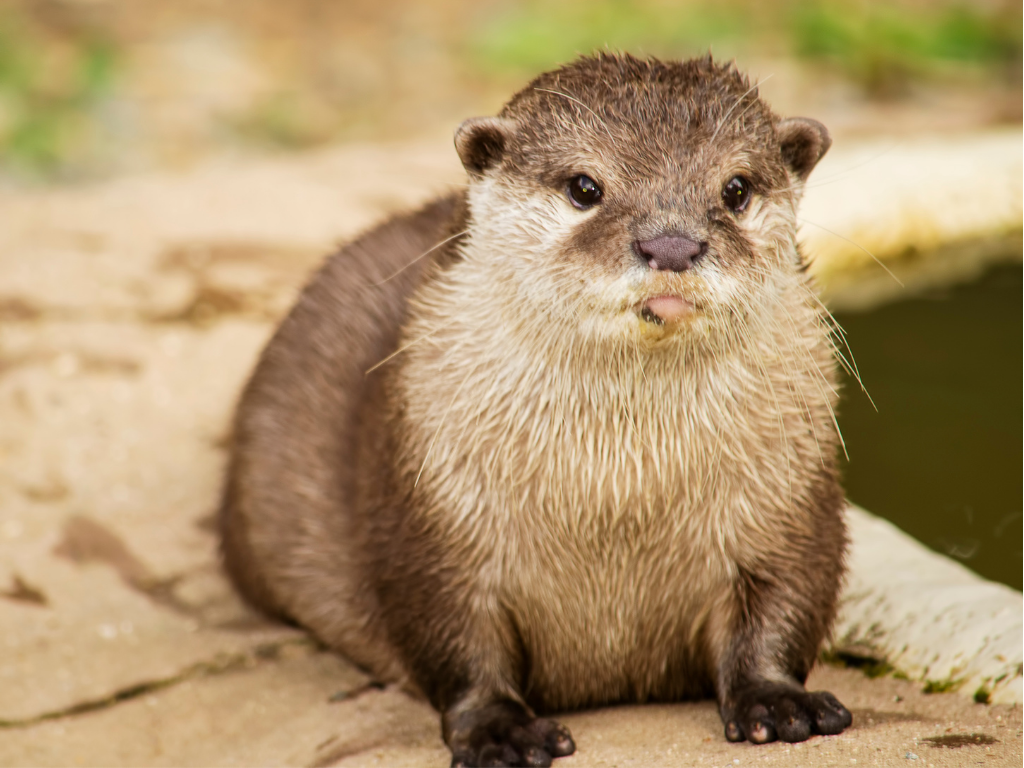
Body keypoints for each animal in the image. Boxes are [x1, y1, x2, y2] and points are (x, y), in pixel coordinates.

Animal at [219, 54, 852, 767]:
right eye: (584, 186)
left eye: (736, 188)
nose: (671, 245)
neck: (617, 505)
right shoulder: (432, 517)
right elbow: (454, 635)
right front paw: (498, 730)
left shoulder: (790, 503)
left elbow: (784, 597)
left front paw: (776, 701)